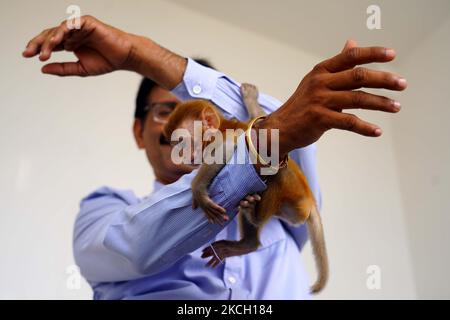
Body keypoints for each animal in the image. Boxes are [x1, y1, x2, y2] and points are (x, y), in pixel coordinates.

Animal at [163, 84, 328, 292]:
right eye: (175, 146)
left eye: (182, 142)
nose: (181, 157)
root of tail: (309, 199)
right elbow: (258, 121)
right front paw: (251, 101)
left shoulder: (223, 138)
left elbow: (227, 148)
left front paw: (198, 189)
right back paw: (248, 243)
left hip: (291, 196)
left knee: (276, 175)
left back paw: (254, 214)